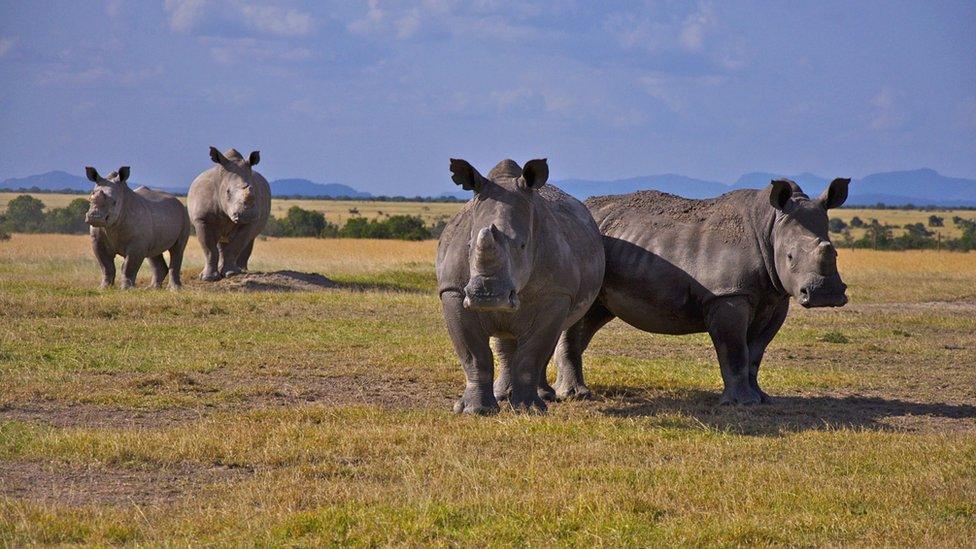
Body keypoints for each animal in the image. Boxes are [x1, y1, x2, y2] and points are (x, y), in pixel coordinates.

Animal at [187, 147, 268, 280]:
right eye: (227, 192)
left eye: (254, 192)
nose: (247, 214)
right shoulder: (202, 219)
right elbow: (209, 249)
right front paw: (208, 278)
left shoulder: (249, 222)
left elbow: (236, 246)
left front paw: (232, 273)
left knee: (248, 240)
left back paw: (241, 270)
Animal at [438, 157, 608, 412]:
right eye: (468, 245)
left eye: (523, 246)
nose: (487, 297)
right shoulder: (453, 291)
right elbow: (474, 355)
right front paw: (475, 411)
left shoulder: (556, 294)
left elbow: (532, 355)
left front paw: (529, 409)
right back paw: (502, 395)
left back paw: (544, 397)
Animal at [560, 179, 852, 402]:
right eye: (790, 257)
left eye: (836, 253)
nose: (824, 295)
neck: (769, 226)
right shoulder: (728, 295)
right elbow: (735, 350)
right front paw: (741, 403)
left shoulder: (776, 297)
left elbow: (756, 352)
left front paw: (762, 398)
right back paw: (576, 395)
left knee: (592, 316)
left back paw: (570, 391)